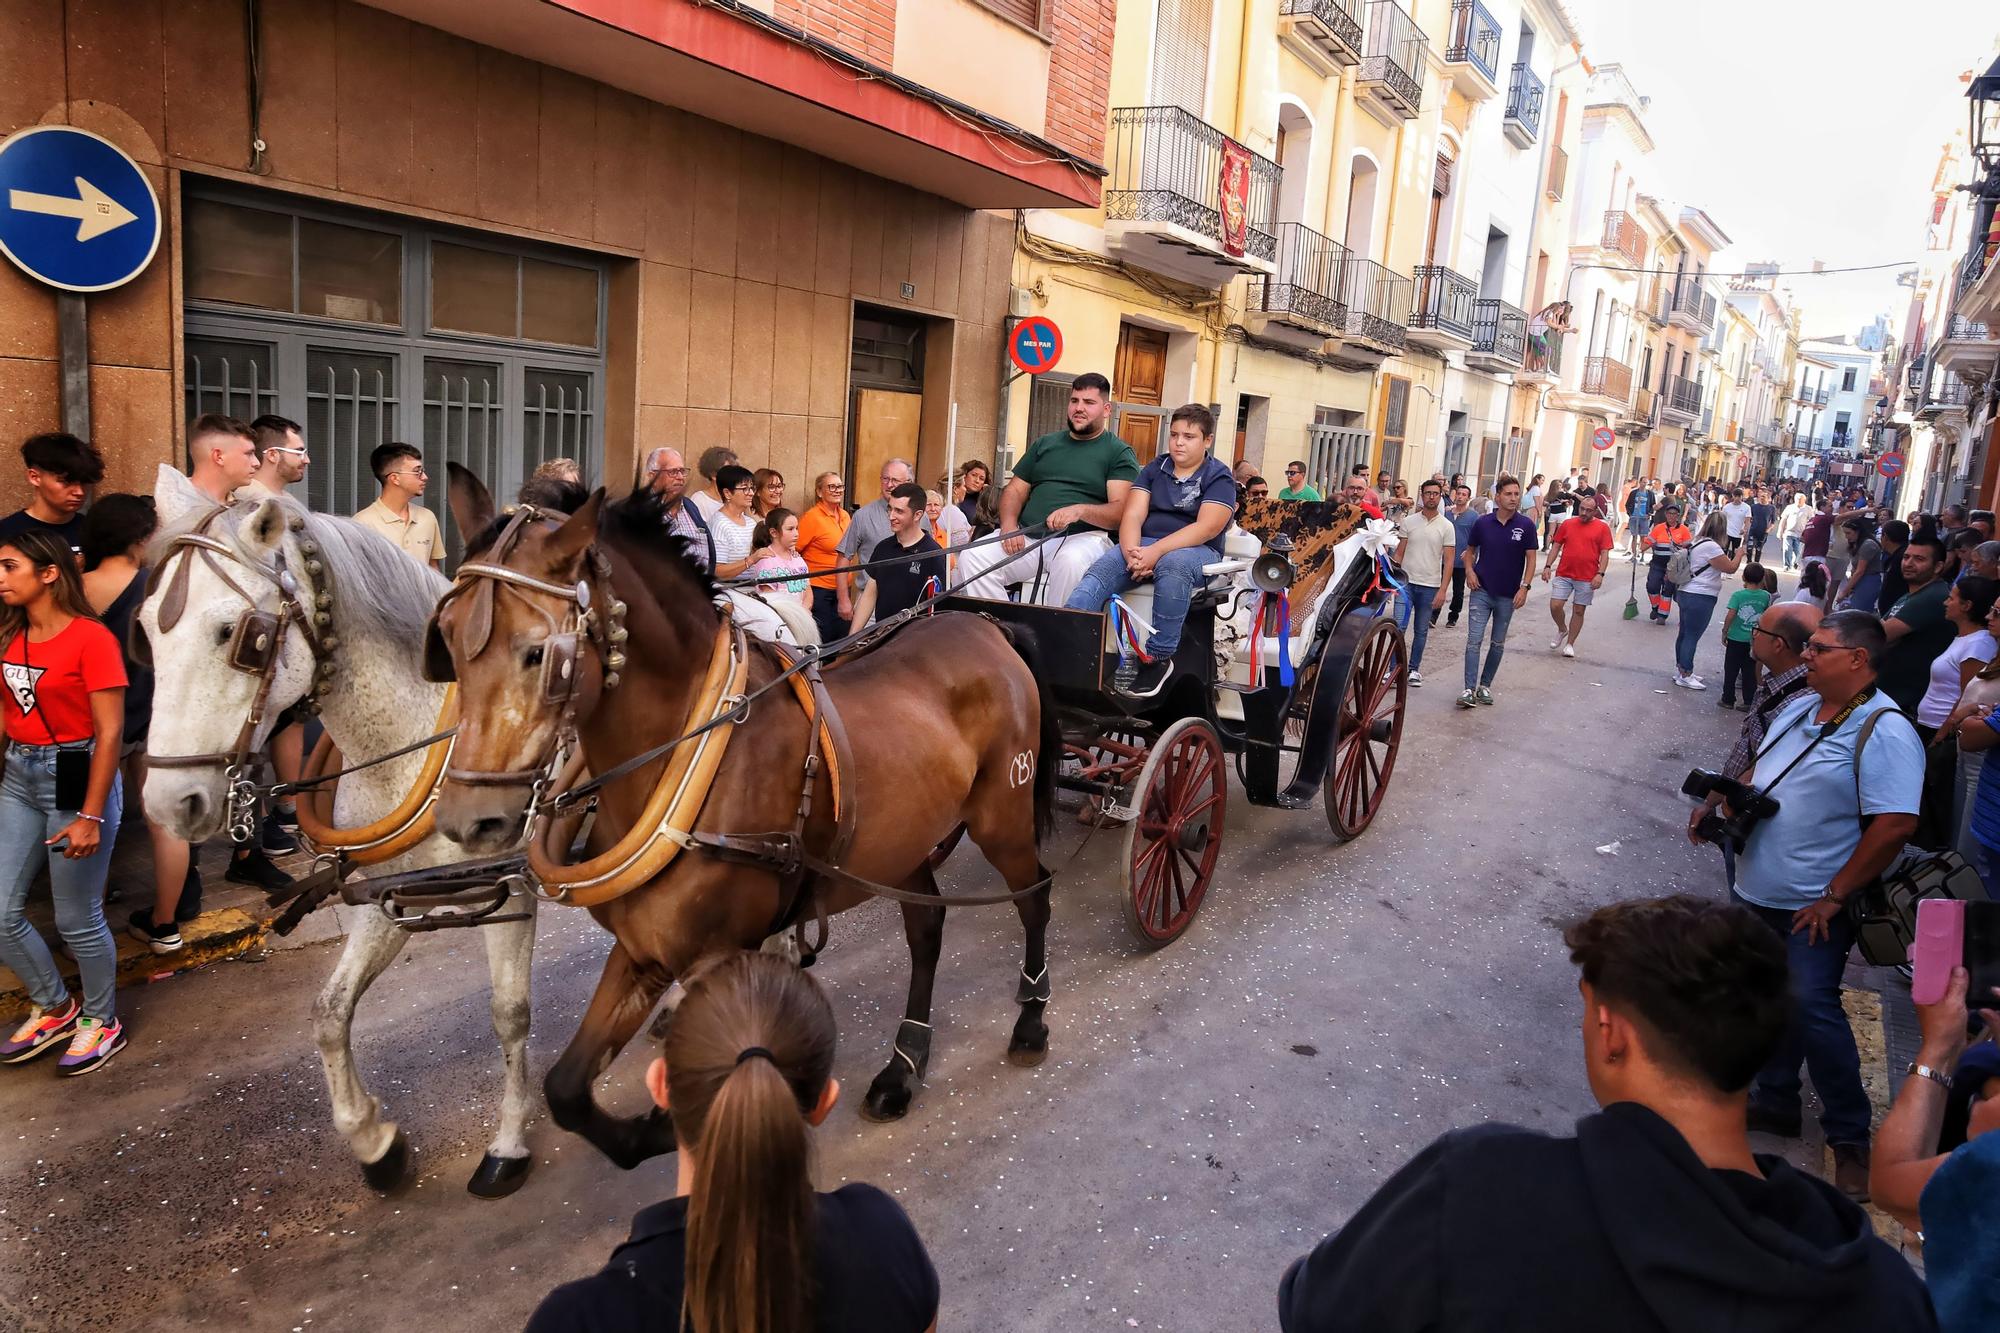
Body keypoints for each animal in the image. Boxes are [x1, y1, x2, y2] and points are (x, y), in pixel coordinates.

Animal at [141, 466, 540, 1192]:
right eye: (144, 633)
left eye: (240, 634)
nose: (165, 803)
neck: (421, 741)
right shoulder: (388, 895)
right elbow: (329, 1012)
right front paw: (375, 1141)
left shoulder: (512, 889)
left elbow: (510, 1014)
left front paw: (508, 1141)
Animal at [426, 470, 1064, 1160]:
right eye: (448, 639)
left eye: (539, 654)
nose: (468, 821)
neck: (693, 751)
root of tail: (987, 627)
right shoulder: (644, 948)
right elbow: (567, 1089)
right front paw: (642, 1132)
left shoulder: (719, 952)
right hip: (901, 844)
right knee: (926, 929)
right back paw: (902, 1066)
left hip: (1002, 816)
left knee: (1034, 896)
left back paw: (1031, 1016)